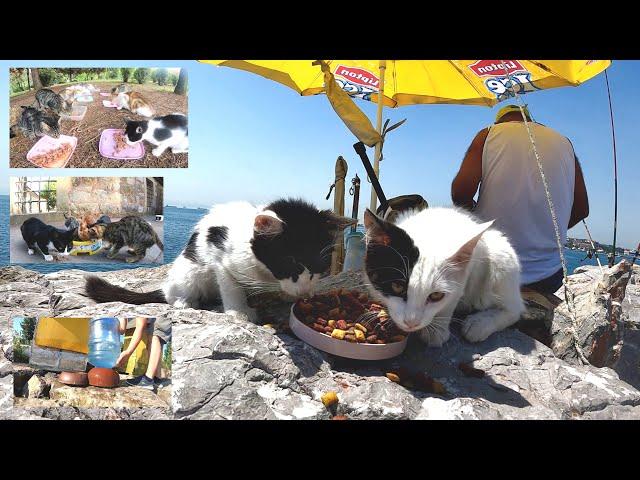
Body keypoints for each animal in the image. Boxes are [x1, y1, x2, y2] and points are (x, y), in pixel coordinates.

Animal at [84, 197, 356, 324]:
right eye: (292, 264)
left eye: (320, 267)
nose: (305, 293)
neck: (265, 272)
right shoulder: (221, 260)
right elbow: (231, 286)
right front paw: (239, 312)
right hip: (189, 271)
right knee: (175, 294)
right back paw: (186, 302)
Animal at [362, 206, 524, 344]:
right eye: (397, 286)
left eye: (436, 295)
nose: (411, 323)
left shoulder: (465, 272)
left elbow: (452, 299)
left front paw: (437, 331)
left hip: (500, 257)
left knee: (515, 309)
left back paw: (480, 323)